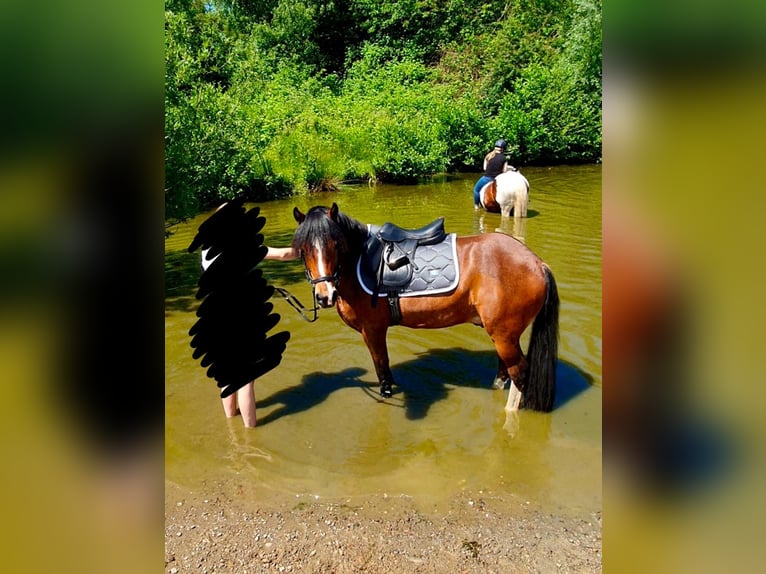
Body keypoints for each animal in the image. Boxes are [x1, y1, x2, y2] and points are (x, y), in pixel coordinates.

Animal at [292, 205, 560, 412]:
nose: (324, 295)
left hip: (504, 336)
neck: (360, 261)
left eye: (335, 244)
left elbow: (383, 372)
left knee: (520, 376)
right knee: (504, 372)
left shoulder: (373, 330)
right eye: (303, 250)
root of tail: (538, 263)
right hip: (503, 336)